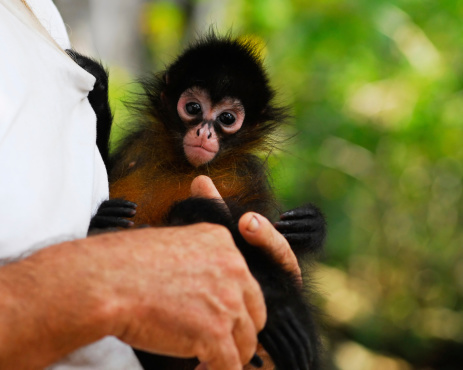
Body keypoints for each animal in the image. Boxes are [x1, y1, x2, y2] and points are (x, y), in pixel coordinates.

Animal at [70, 31, 328, 370]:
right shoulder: (137, 146)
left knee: (193, 209)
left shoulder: (250, 175)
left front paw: (309, 229)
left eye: (227, 118)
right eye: (192, 107)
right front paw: (97, 90)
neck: (187, 165)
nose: (204, 132)